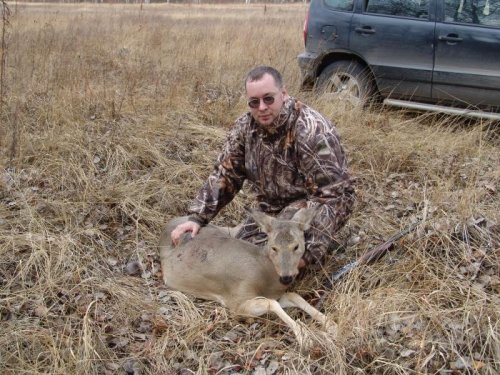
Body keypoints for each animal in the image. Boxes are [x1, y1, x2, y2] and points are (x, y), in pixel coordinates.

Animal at [159, 209, 336, 350]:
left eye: (296, 246)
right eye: (273, 247)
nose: (286, 277)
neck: (266, 276)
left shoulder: (275, 293)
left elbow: (294, 296)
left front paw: (329, 324)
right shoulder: (237, 301)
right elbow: (272, 303)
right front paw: (305, 337)